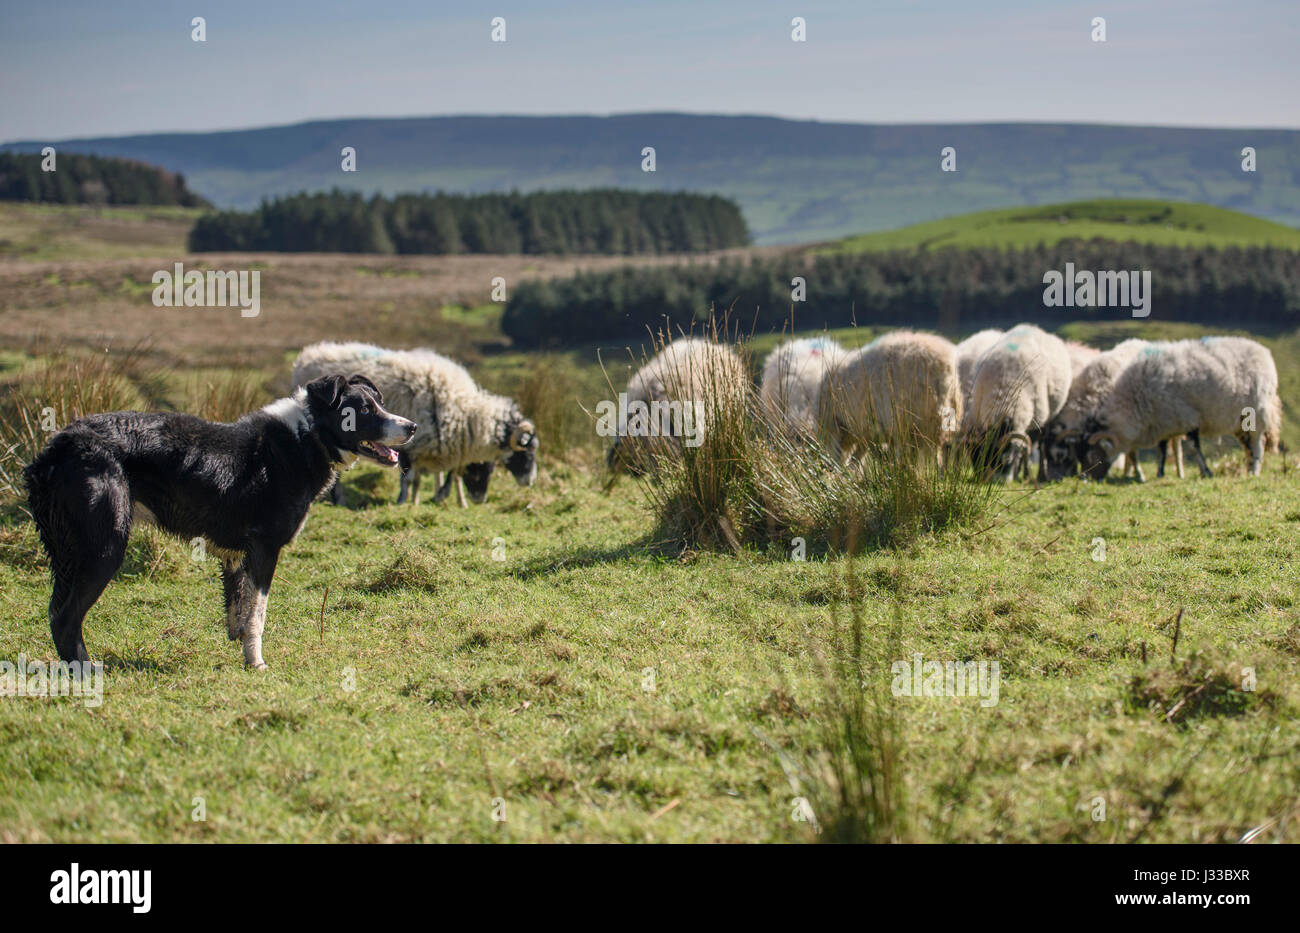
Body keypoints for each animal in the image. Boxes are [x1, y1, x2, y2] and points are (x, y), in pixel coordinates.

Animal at [291, 340, 538, 506]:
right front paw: (404, 502)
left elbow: (435, 477)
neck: (464, 413)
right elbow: (409, 478)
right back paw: (339, 500)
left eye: (491, 468)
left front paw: (430, 499)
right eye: (527, 452)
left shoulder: (434, 446)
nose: (529, 482)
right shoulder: (411, 446)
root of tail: (308, 354)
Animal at [961, 323, 1071, 483]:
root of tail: (1030, 326)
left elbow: (1025, 449)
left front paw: (1022, 472)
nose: (996, 482)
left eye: (1006, 459)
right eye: (980, 457)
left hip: (1047, 417)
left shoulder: (1035, 422)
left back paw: (1038, 475)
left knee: (1041, 445)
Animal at [1076, 337, 1279, 483]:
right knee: (1248, 446)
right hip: (1240, 421)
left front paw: (1206, 471)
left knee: (1258, 443)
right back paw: (1249, 469)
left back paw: (1255, 470)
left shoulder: (1188, 418)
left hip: (1257, 413)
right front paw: (1160, 473)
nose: (1086, 478)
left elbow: (1194, 448)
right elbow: (1162, 450)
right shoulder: (1164, 422)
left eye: (1093, 454)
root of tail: (1264, 352)